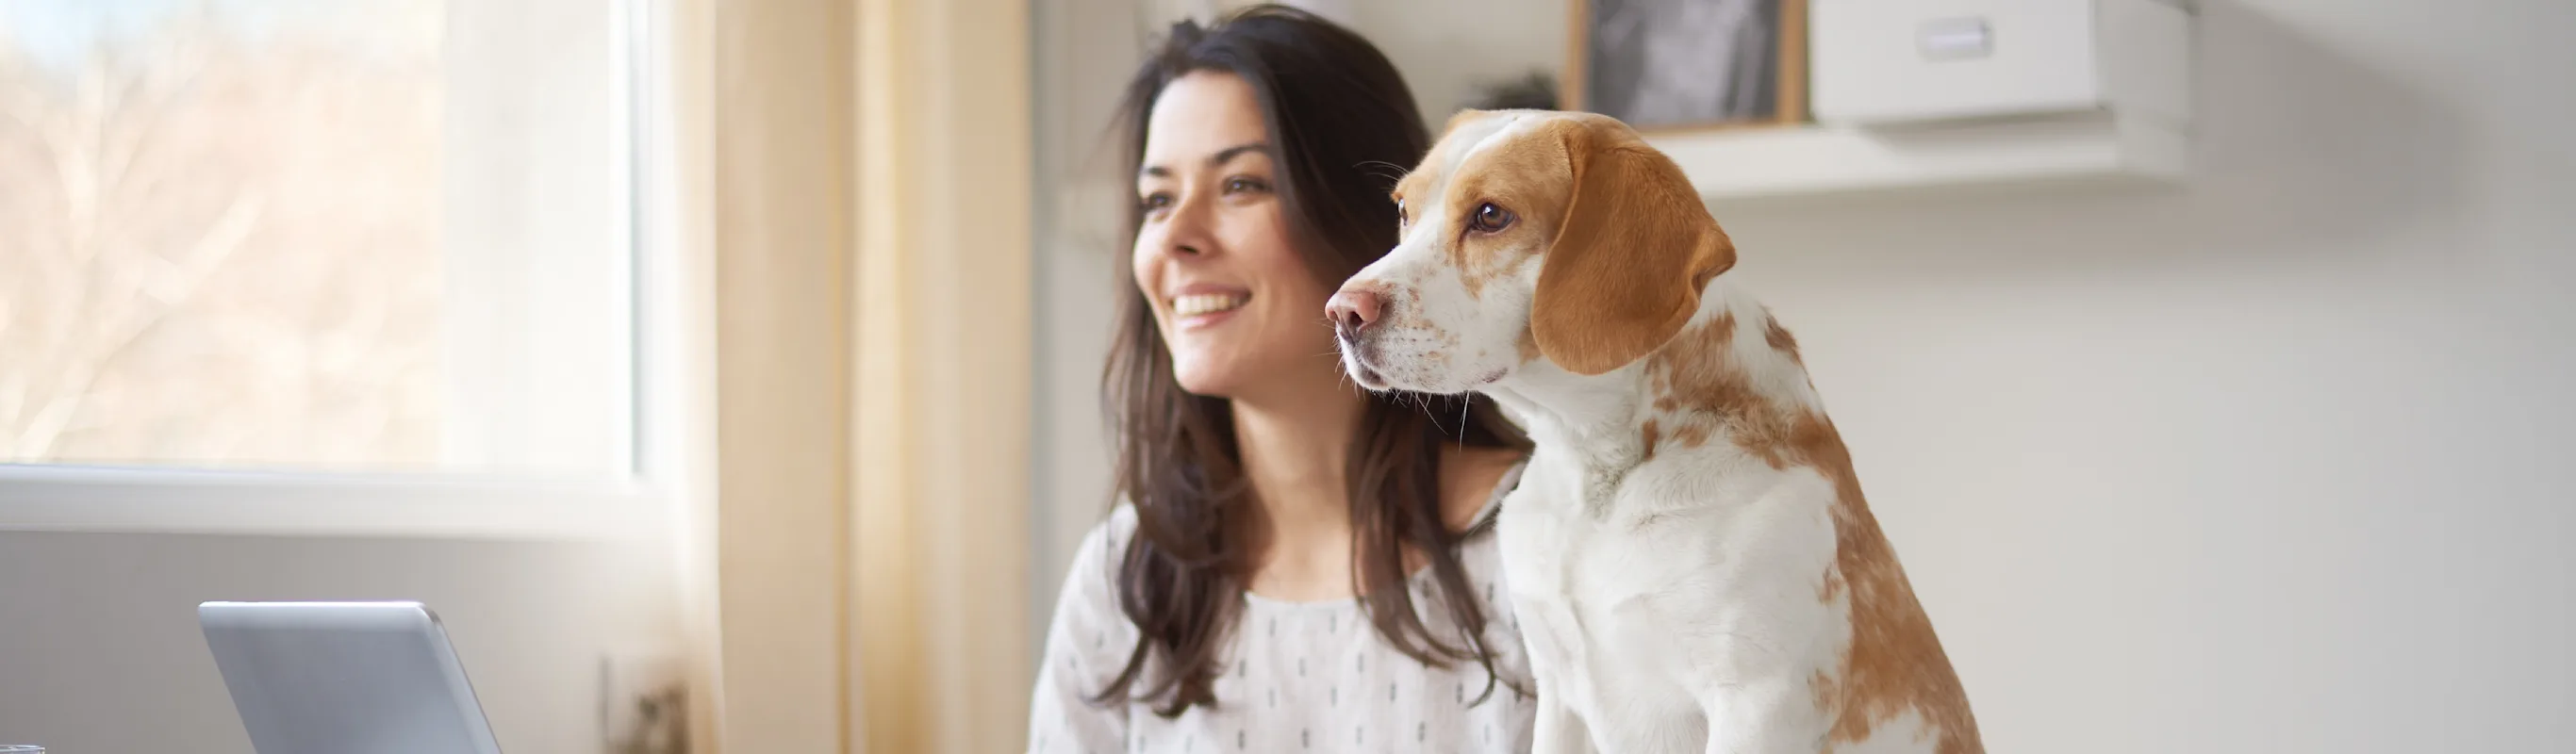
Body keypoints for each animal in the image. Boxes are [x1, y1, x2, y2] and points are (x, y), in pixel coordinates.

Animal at [1329, 111, 1968, 751]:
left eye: (1490, 215)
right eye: (1404, 210)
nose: (1341, 312)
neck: (1594, 477)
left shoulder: (1755, 702)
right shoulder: (1556, 689)